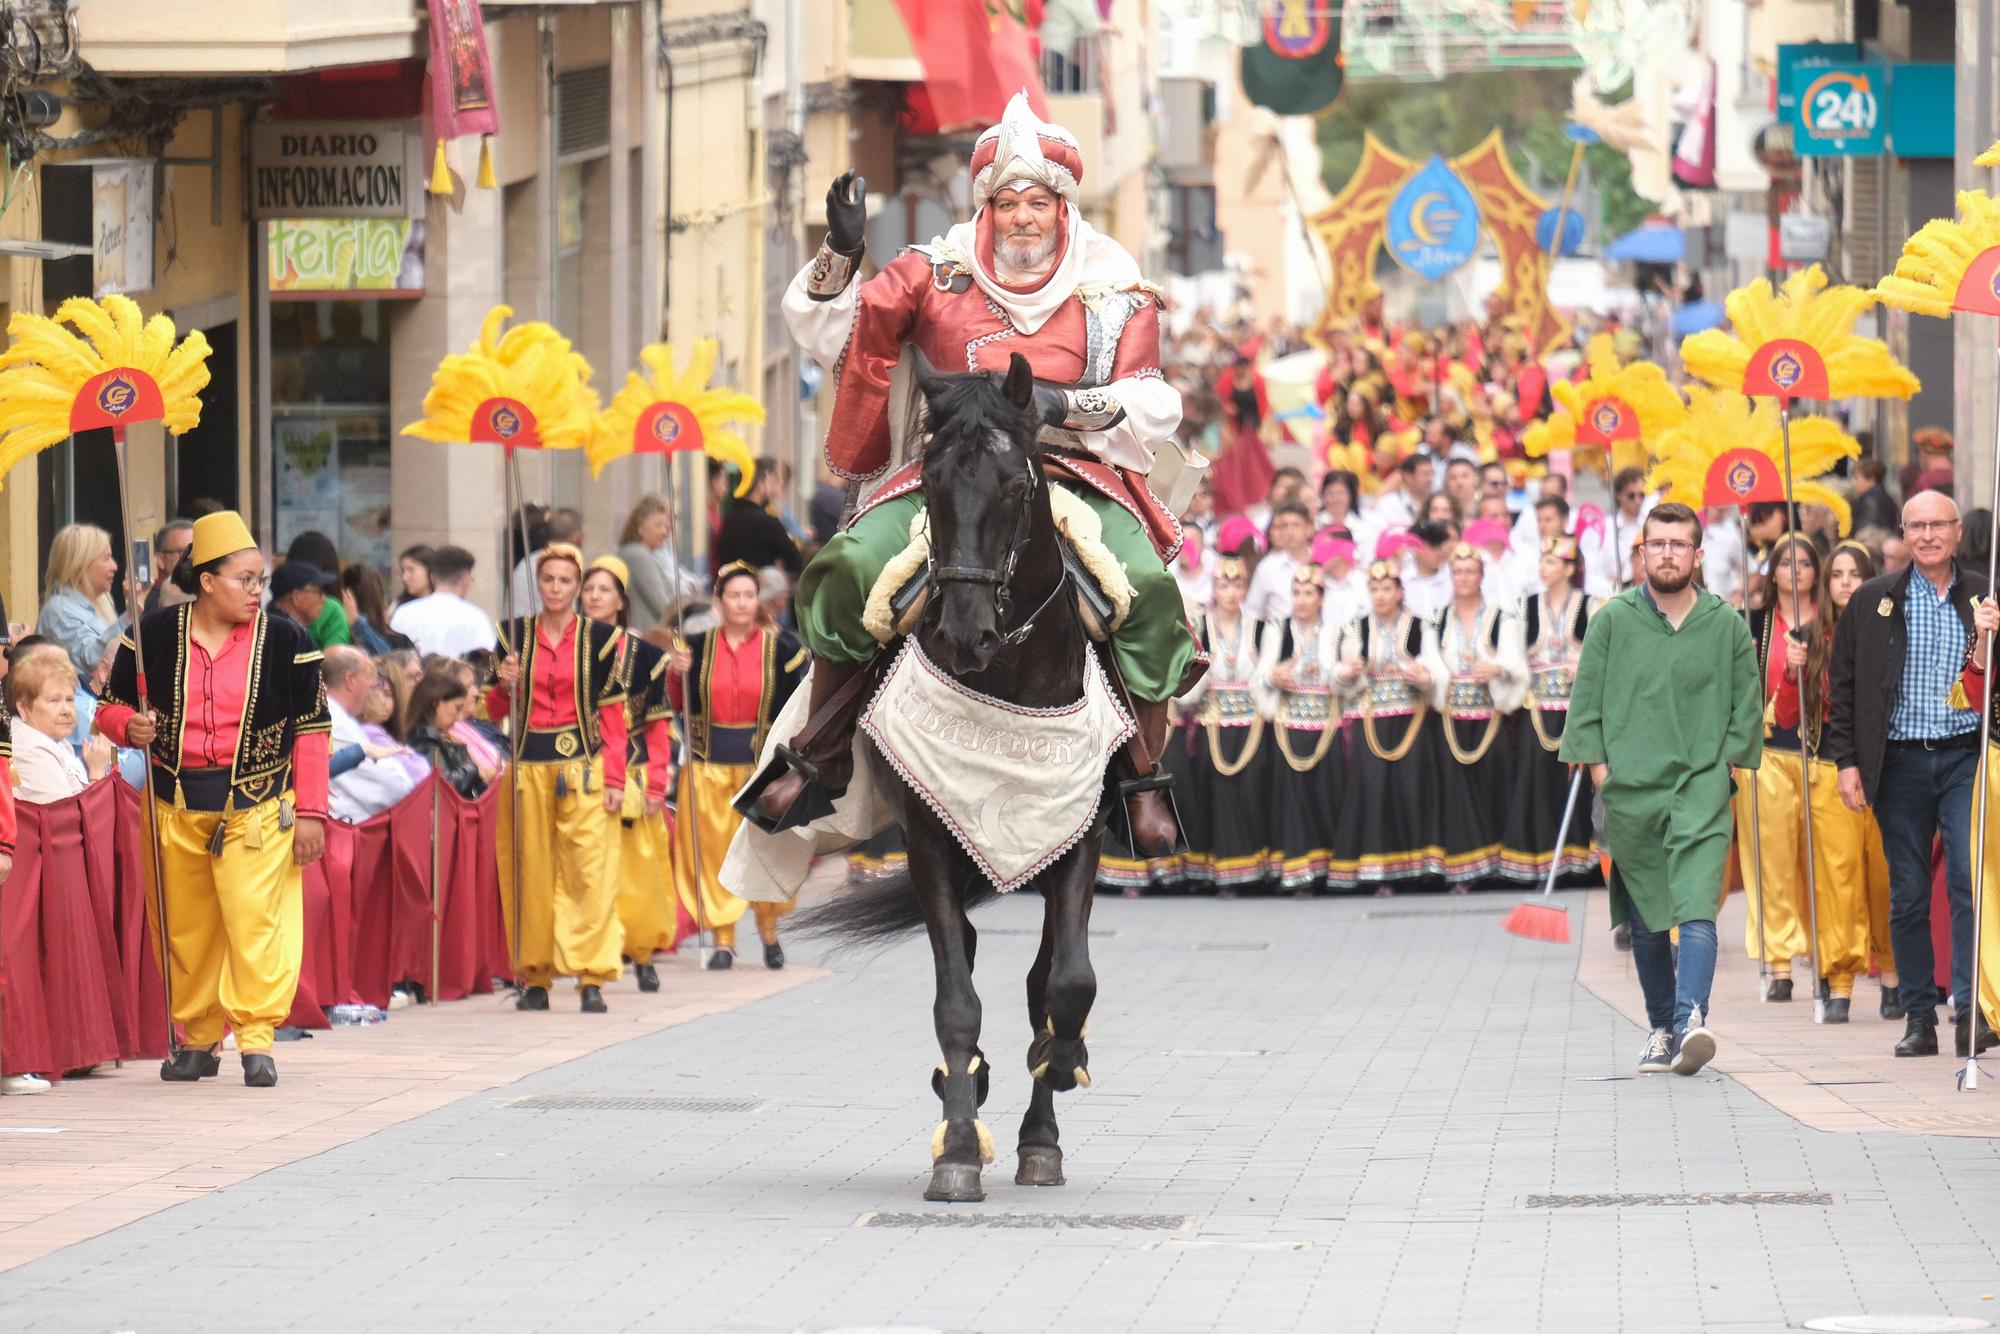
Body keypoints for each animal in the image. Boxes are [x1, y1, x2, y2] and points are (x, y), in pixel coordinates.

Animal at [796, 350, 1112, 1208]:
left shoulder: (1078, 833)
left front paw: (1059, 1071)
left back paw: (1040, 1125)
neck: (1009, 675)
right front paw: (960, 1151)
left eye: (1013, 486)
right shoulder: (929, 837)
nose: (964, 632)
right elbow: (957, 1001)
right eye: (932, 484)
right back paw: (962, 1094)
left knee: (1040, 980)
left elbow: (1066, 985)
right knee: (964, 955)